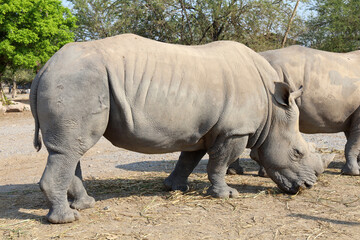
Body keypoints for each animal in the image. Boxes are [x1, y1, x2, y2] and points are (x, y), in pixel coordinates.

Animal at [29, 34, 324, 224]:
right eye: (297, 152)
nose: (308, 185)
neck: (274, 112)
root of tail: (44, 68)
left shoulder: (201, 131)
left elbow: (188, 159)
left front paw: (175, 188)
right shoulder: (235, 131)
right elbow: (218, 163)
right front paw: (226, 194)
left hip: (77, 79)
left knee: (71, 149)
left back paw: (85, 205)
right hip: (77, 79)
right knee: (70, 149)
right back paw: (68, 219)